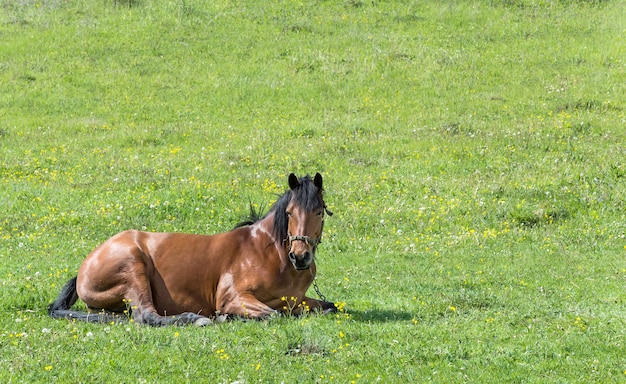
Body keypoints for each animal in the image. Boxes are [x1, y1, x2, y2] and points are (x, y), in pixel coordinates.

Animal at [47, 172, 336, 326]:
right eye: (289, 212)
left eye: (319, 212)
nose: (300, 257)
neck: (269, 254)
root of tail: (84, 267)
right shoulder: (233, 298)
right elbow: (274, 315)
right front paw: (224, 318)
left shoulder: (299, 299)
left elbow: (329, 306)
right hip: (132, 267)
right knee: (147, 316)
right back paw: (196, 319)